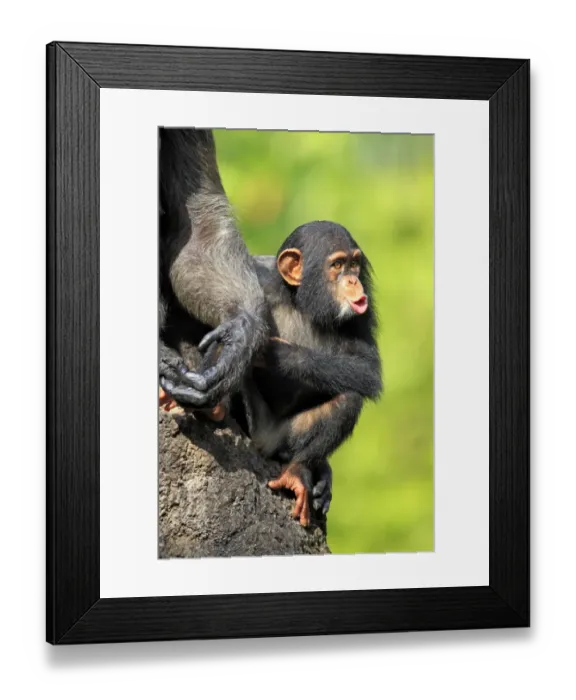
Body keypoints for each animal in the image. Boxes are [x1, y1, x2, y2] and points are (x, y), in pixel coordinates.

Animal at [207, 220, 383, 527]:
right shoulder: (255, 277)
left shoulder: (363, 312)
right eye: (337, 265)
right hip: (253, 422)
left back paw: (299, 472)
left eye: (354, 264)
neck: (298, 300)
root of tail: (263, 444)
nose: (353, 281)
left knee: (349, 398)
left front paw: (276, 354)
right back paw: (216, 409)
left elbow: (367, 368)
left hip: (285, 439)